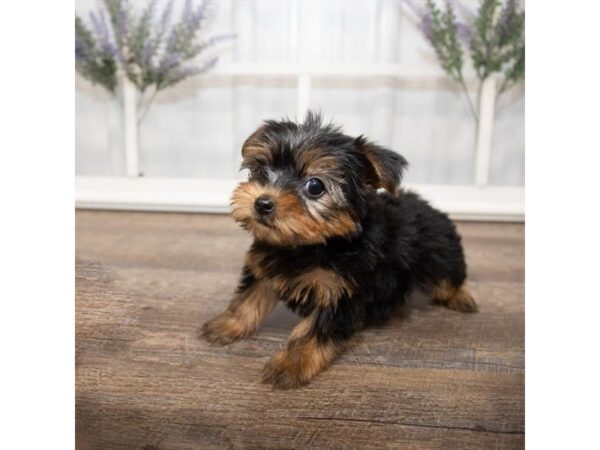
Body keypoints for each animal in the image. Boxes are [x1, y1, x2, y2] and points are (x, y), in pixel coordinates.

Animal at [203, 111, 478, 386]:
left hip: (439, 254)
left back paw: (462, 298)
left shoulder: (342, 292)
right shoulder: (265, 266)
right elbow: (248, 299)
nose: (262, 203)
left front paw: (290, 365)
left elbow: (313, 331)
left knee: (448, 277)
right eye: (262, 169)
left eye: (315, 187)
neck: (311, 245)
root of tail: (429, 206)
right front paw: (226, 324)